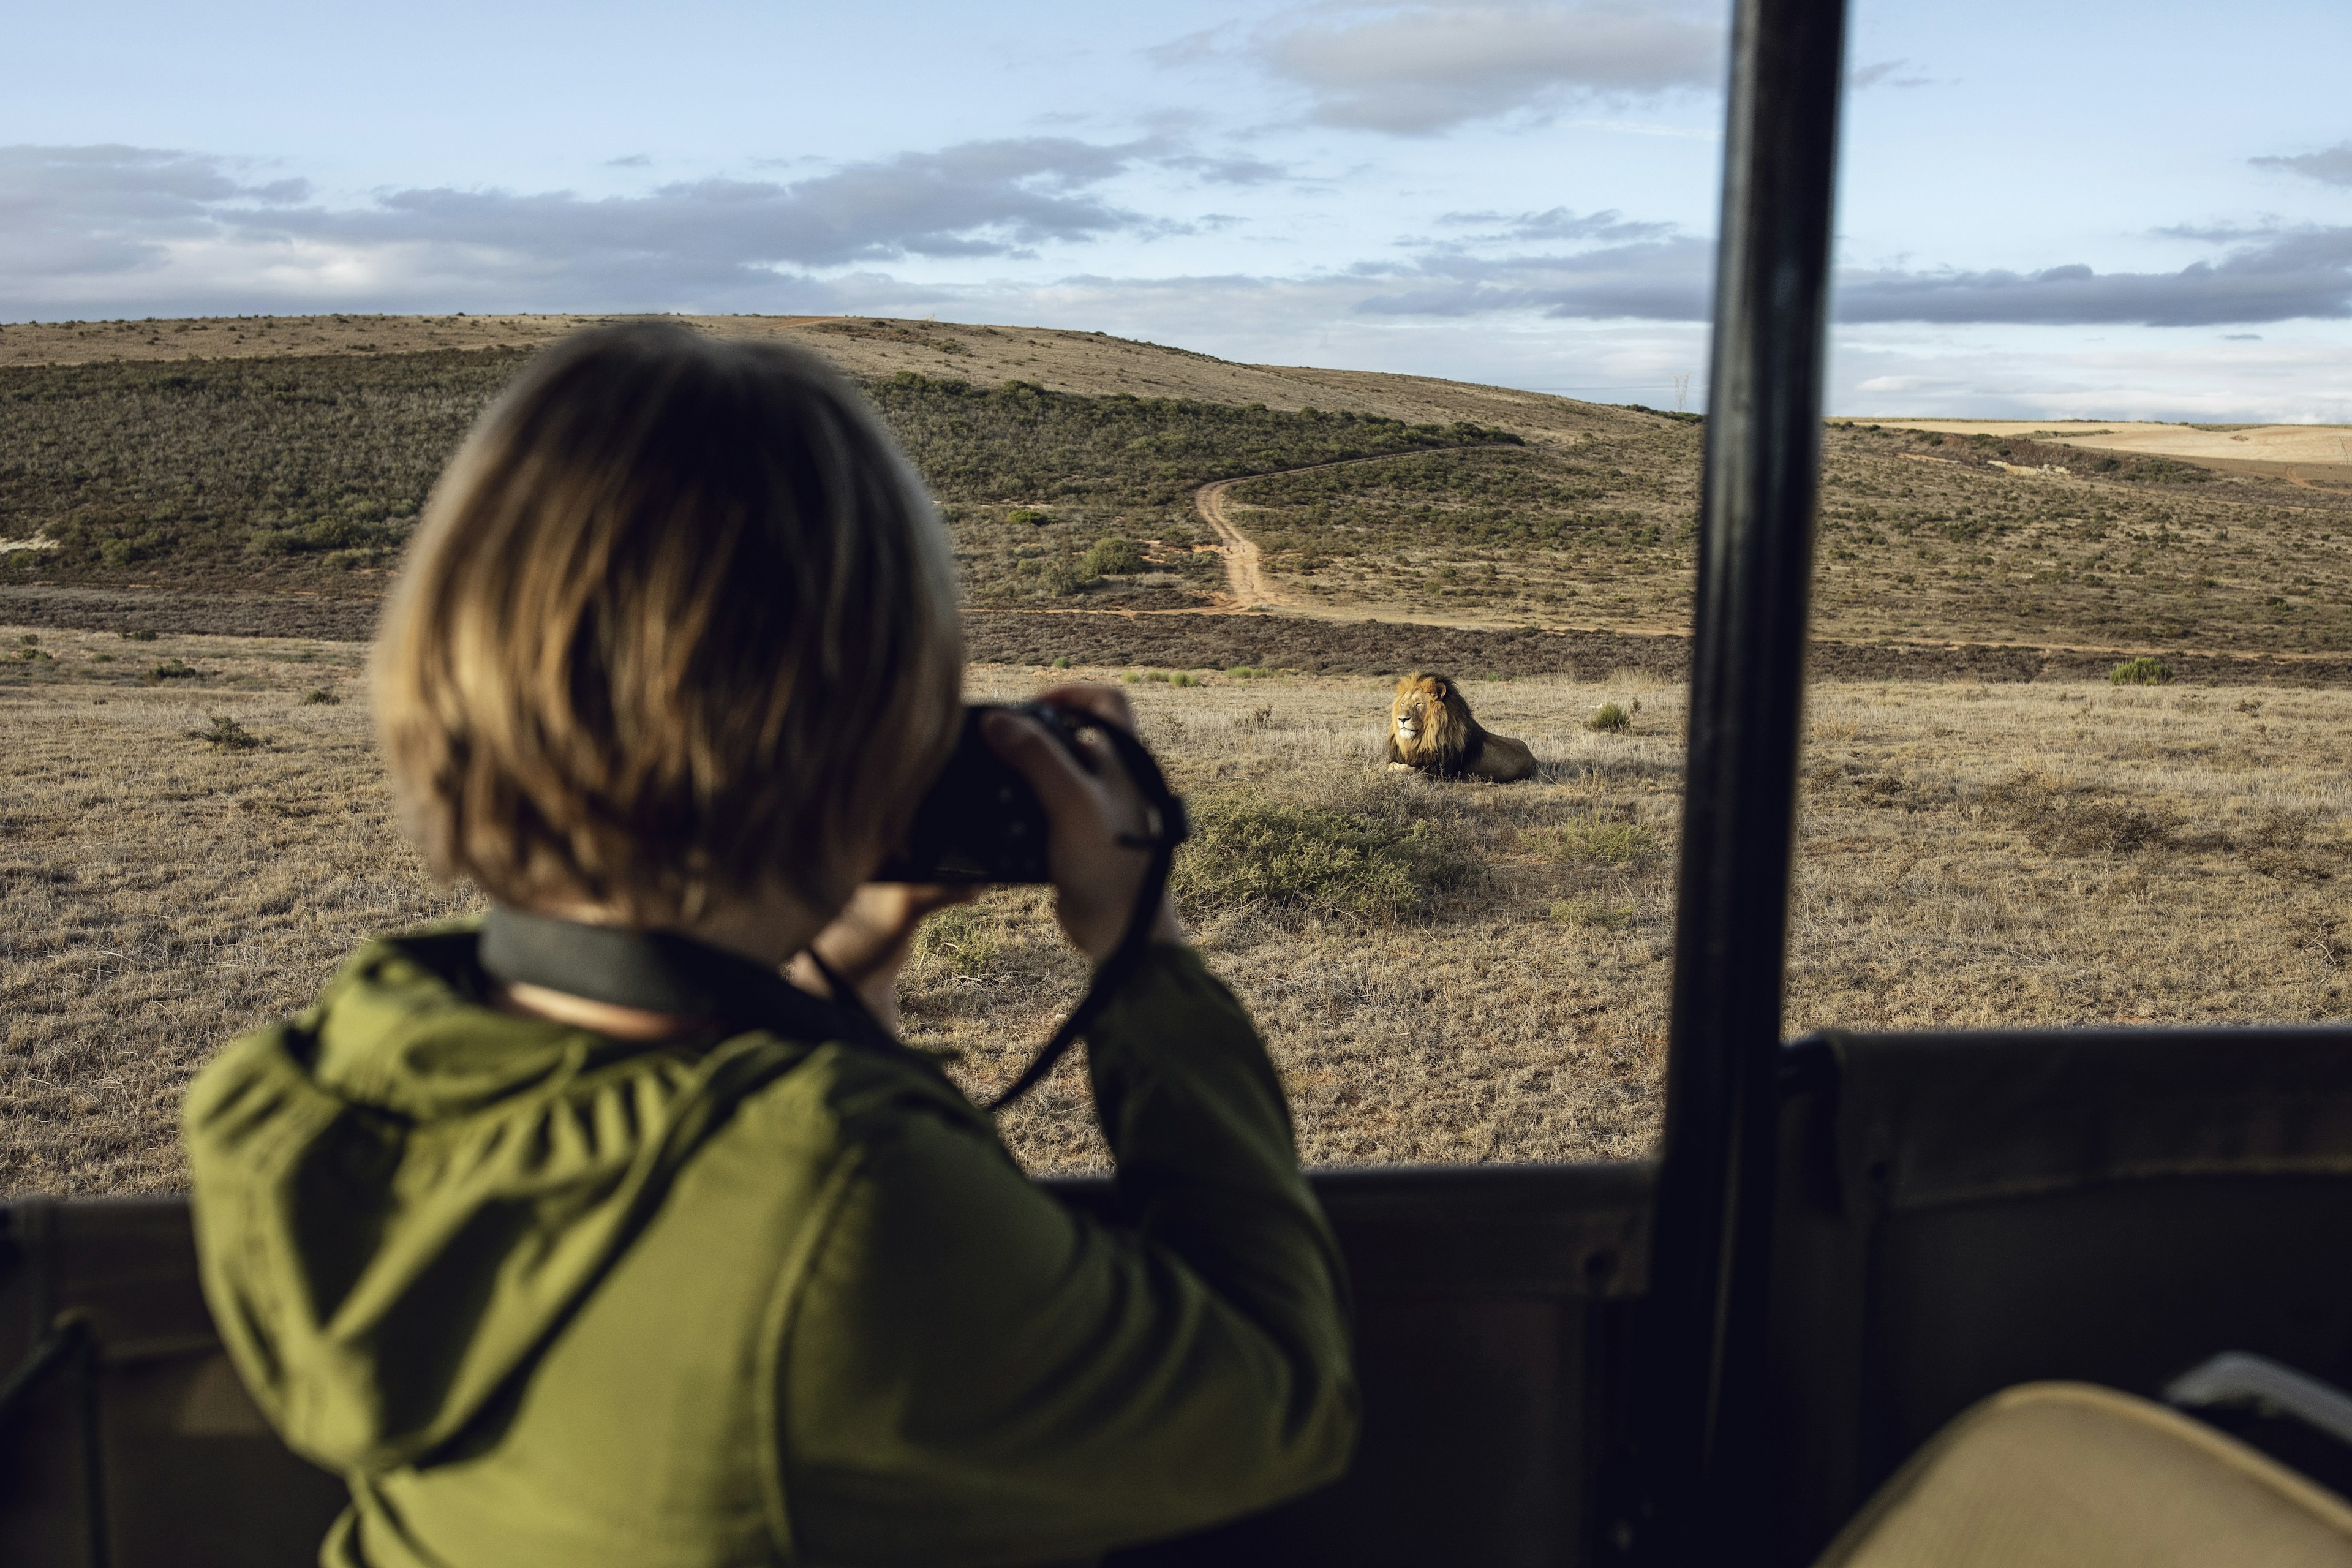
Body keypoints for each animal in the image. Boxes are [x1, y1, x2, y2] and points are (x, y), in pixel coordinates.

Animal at [1382, 672, 1533, 780]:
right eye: (1402, 703)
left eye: (1418, 704)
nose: (1402, 719)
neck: (1422, 738)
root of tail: (1533, 758)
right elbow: (1391, 764)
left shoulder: (1438, 771)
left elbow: (1410, 769)